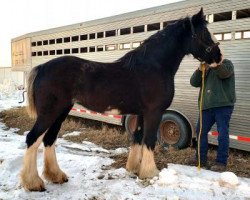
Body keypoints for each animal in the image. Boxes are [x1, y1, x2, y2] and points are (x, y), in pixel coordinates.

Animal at [20, 8, 222, 191]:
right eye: (204, 33)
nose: (219, 57)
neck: (153, 66)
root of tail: (42, 68)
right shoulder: (154, 112)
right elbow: (149, 140)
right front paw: (150, 173)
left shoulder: (141, 113)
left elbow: (138, 138)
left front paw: (134, 169)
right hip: (49, 112)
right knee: (33, 138)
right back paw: (33, 183)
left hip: (61, 112)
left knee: (49, 139)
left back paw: (56, 176)